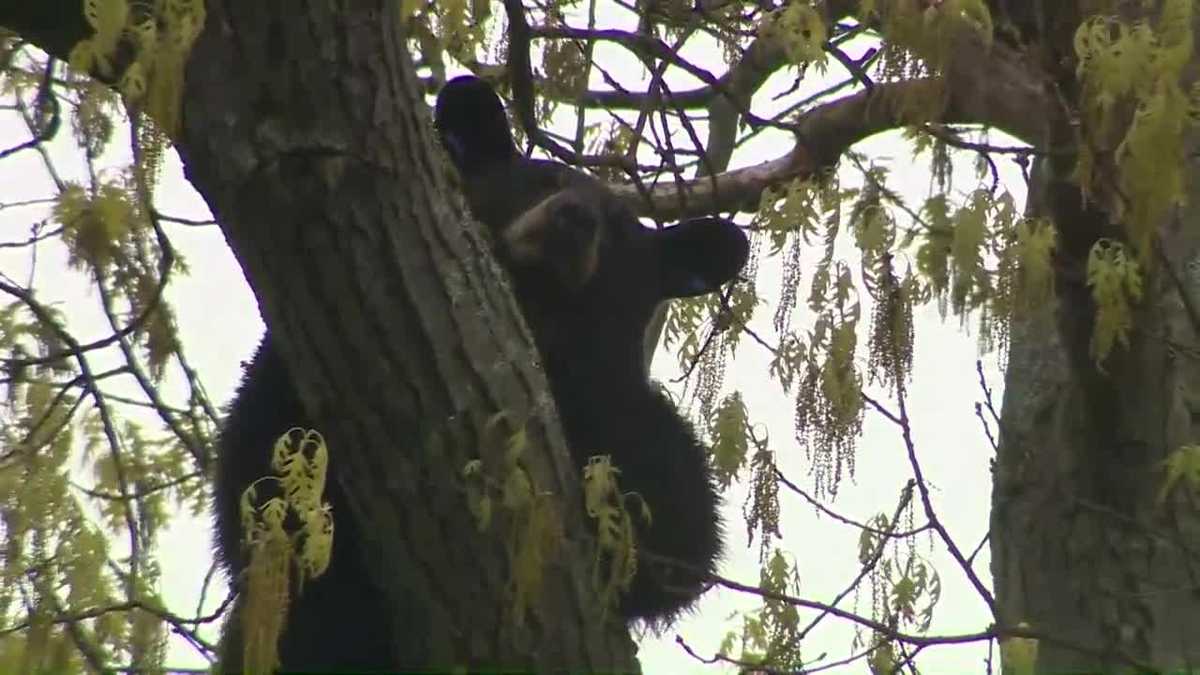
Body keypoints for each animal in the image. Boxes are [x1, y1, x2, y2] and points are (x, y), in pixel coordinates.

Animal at [211, 76, 744, 667]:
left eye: (621, 230)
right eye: (543, 179)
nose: (575, 217)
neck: (537, 319)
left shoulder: (624, 405)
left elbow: (680, 531)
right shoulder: (278, 380)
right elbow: (259, 474)